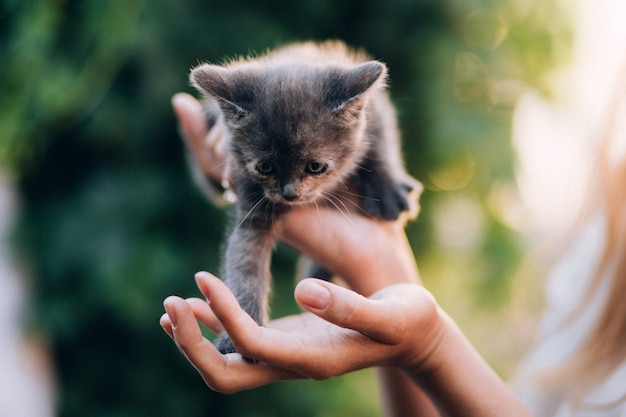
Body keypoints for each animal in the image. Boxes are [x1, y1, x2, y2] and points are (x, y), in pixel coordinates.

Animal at [186, 39, 420, 354]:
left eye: (315, 167)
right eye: (265, 167)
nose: (290, 193)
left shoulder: (375, 106)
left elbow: (381, 135)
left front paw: (387, 189)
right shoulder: (252, 201)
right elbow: (245, 258)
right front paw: (239, 325)